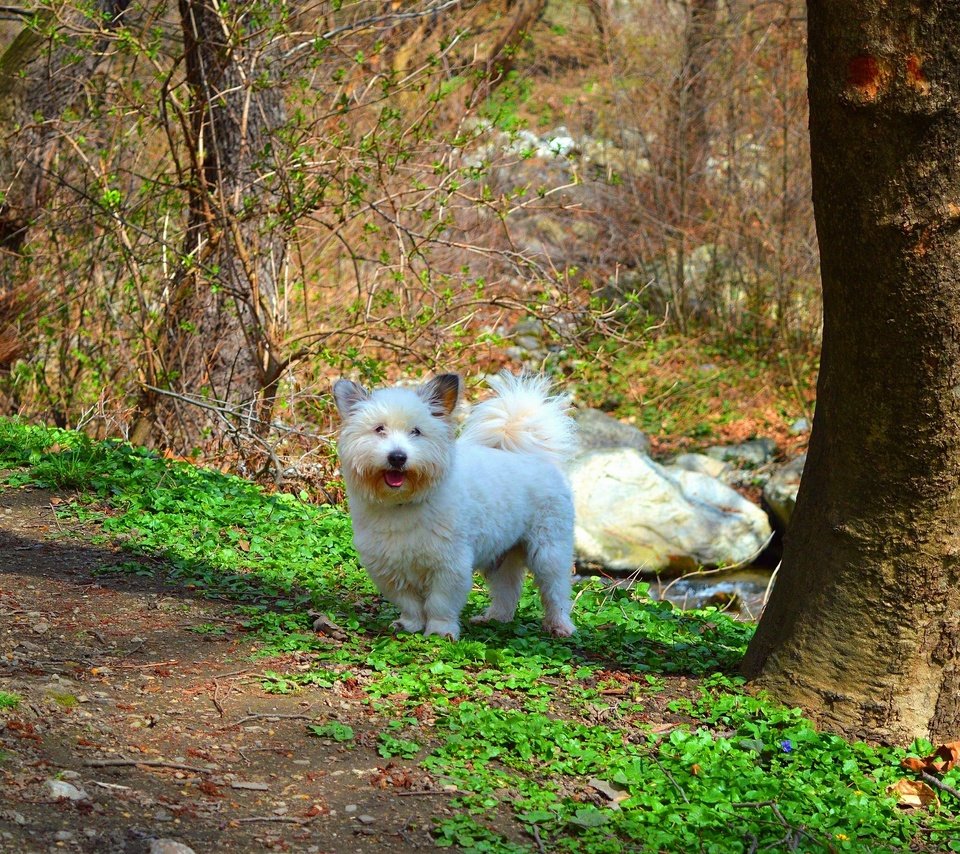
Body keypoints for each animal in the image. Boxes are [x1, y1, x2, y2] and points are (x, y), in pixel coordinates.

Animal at [334, 372, 576, 640]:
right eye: (379, 429)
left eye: (416, 432)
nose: (397, 457)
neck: (403, 503)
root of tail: (535, 457)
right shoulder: (389, 567)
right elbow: (409, 602)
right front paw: (410, 624)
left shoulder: (450, 565)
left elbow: (440, 602)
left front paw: (440, 631)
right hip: (502, 554)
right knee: (508, 588)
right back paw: (495, 617)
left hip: (549, 550)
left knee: (556, 591)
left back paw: (560, 625)